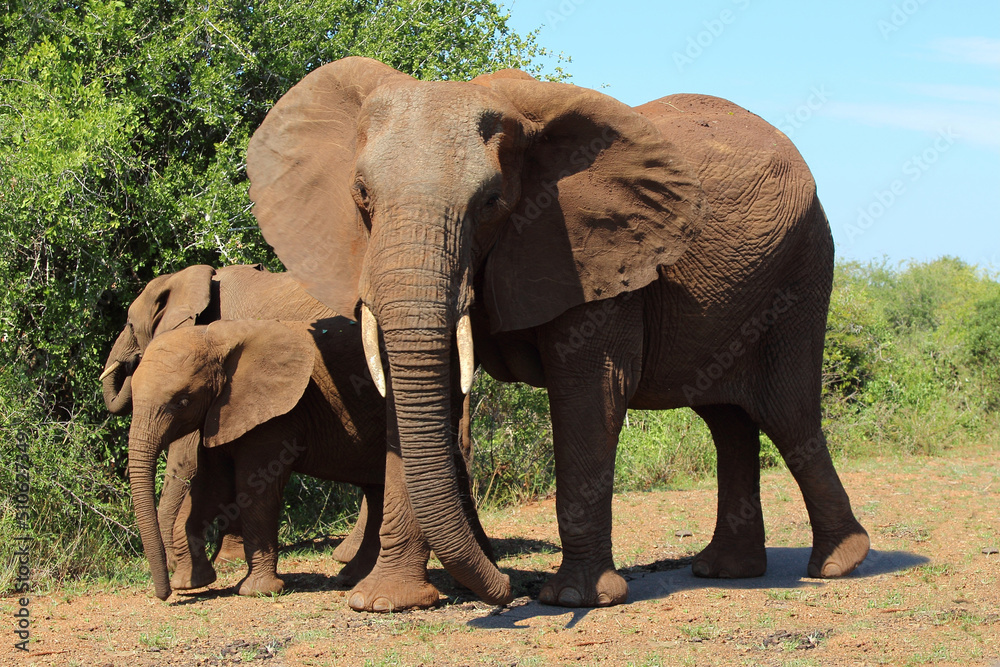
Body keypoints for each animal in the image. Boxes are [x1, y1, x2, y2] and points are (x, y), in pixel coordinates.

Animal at [99, 264, 372, 574]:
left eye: (130, 325)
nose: (130, 364)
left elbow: (185, 459)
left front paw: (179, 564)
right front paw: (226, 559)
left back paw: (348, 556)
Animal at [128, 317, 490, 604]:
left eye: (181, 401)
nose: (163, 596)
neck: (216, 337)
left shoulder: (276, 413)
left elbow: (255, 488)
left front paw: (257, 591)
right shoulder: (220, 411)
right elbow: (209, 487)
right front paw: (191, 584)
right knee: (376, 490)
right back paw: (352, 577)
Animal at [245, 57, 870, 609]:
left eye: (491, 202)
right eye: (361, 196)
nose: (504, 587)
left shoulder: (592, 249)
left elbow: (590, 392)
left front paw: (575, 598)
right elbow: (418, 394)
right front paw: (382, 604)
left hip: (804, 267)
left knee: (787, 411)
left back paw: (840, 564)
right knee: (727, 420)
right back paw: (726, 570)